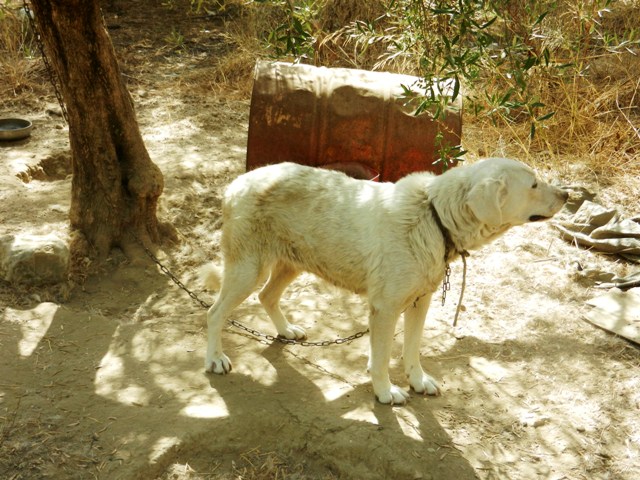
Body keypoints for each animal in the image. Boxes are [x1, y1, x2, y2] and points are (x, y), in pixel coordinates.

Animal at [202, 158, 568, 404]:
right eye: (534, 184)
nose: (566, 195)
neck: (434, 217)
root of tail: (235, 184)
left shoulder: (420, 302)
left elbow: (411, 351)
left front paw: (418, 381)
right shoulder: (386, 308)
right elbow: (381, 359)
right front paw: (385, 391)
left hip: (291, 265)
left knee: (266, 297)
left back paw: (285, 330)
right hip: (248, 270)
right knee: (214, 313)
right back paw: (215, 359)